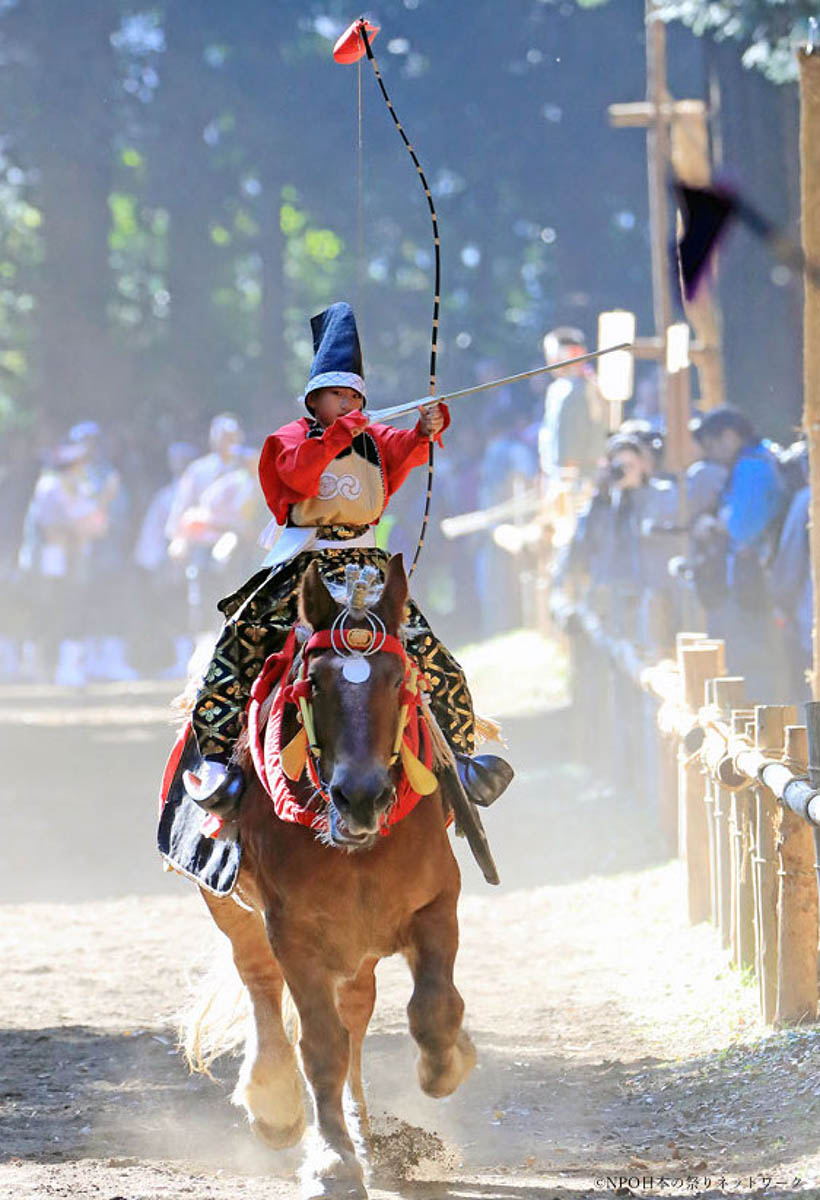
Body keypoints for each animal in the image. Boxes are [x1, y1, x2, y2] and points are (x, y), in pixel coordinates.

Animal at [187, 556, 475, 1195]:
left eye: (396, 681)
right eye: (315, 683)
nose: (362, 795)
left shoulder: (437, 903)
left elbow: (433, 1010)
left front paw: (450, 1061)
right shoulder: (293, 931)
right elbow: (319, 1045)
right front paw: (333, 1159)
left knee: (359, 1017)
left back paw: (369, 1134)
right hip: (233, 908)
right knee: (263, 988)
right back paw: (276, 1103)